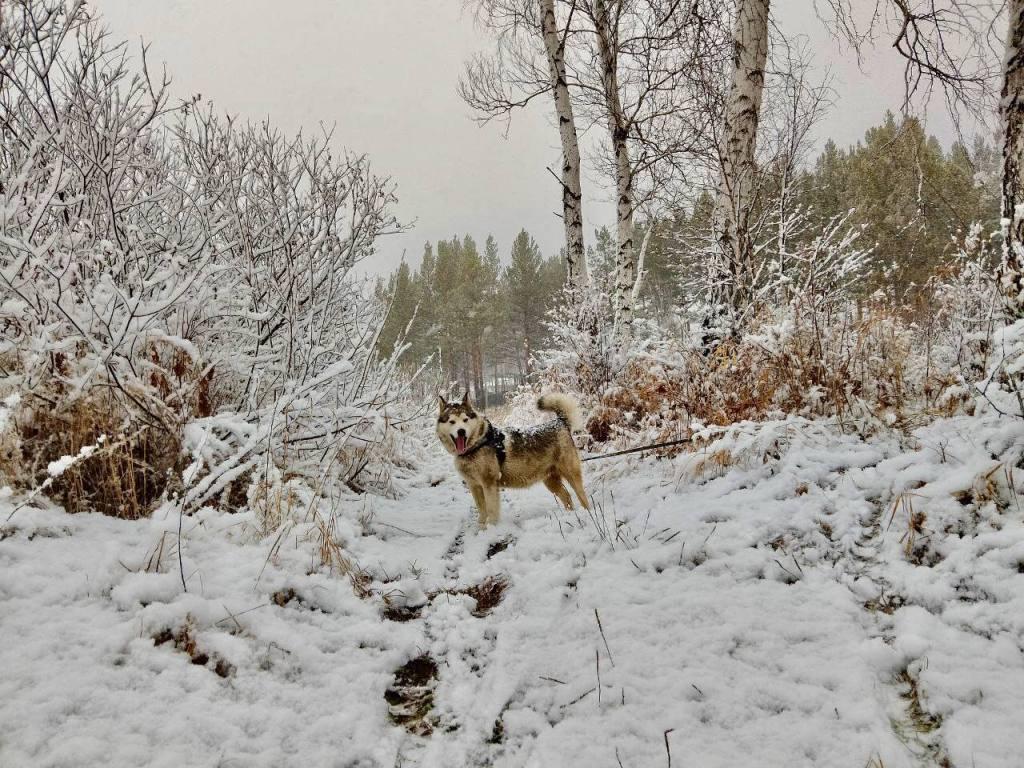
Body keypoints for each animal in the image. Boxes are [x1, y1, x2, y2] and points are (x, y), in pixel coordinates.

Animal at [434, 391, 593, 528]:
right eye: (452, 422)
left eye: (465, 420)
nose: (461, 431)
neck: (476, 445)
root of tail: (560, 422)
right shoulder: (474, 486)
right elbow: (482, 511)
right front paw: (481, 529)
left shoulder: (489, 484)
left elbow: (491, 510)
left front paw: (491, 529)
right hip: (551, 481)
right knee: (567, 497)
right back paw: (569, 515)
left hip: (571, 475)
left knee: (582, 496)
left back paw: (587, 513)